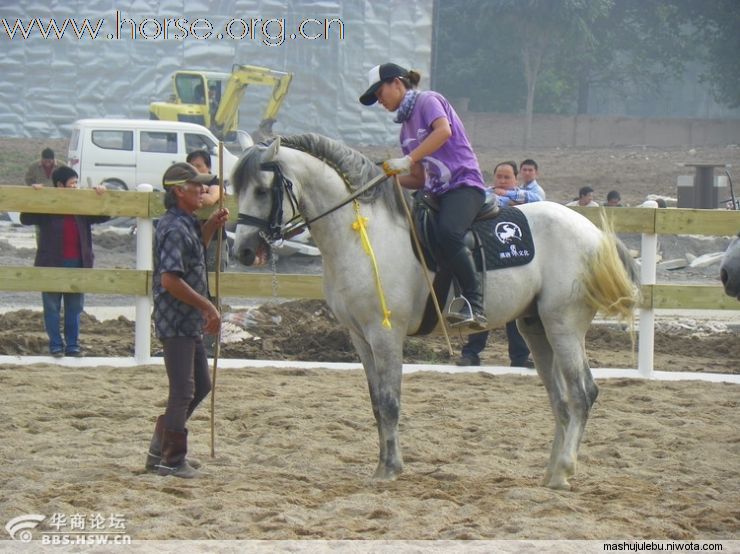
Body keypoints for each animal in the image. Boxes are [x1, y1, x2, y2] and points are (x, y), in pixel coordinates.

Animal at [231, 134, 636, 488]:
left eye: (263, 190)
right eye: (237, 188)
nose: (245, 251)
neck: (361, 235)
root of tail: (594, 234)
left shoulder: (385, 334)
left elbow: (390, 402)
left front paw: (390, 469)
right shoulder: (359, 337)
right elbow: (376, 403)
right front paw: (381, 464)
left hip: (563, 324)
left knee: (582, 393)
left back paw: (565, 469)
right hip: (535, 328)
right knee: (561, 402)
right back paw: (551, 472)